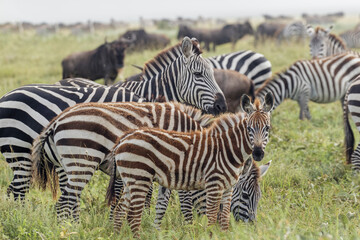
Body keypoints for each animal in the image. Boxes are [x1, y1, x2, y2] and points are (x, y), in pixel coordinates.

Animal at [107, 93, 276, 235]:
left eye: (267, 128)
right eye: (249, 128)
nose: (258, 153)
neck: (227, 149)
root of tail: (124, 137)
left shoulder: (228, 188)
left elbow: (224, 221)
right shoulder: (213, 185)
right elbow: (211, 218)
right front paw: (208, 235)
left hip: (130, 180)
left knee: (120, 210)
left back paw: (116, 235)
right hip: (139, 178)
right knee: (133, 216)